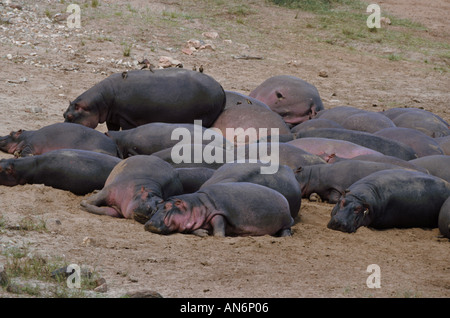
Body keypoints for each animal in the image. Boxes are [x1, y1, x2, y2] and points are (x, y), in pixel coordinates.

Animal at [143, 183, 292, 237]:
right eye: (158, 206)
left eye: (168, 206)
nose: (148, 224)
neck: (197, 204)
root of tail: (283, 197)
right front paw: (203, 232)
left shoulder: (219, 212)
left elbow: (219, 224)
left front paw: (219, 236)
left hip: (285, 221)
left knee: (286, 229)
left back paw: (285, 237)